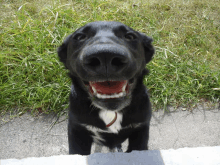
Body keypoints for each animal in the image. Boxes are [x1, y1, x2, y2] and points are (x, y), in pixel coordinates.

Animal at [58, 21, 155, 155]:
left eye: (130, 36)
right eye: (80, 37)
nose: (105, 56)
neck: (111, 112)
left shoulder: (141, 127)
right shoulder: (77, 130)